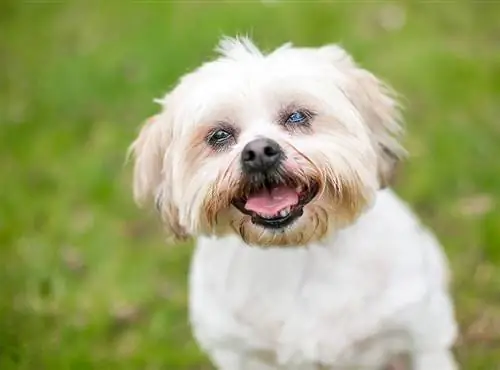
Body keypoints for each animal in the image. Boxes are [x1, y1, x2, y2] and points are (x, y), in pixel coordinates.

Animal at [128, 37, 458, 370]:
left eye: (297, 116)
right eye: (219, 135)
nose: (259, 152)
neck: (298, 250)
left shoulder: (422, 334)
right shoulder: (236, 351)